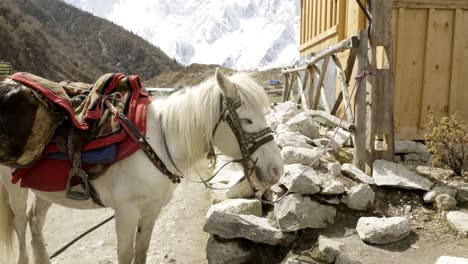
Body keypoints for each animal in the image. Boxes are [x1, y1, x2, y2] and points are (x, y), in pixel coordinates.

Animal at [0, 69, 284, 264]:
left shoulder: (151, 212)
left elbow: (142, 251)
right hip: (14, 187)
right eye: (247, 120)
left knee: (35, 222)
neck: (157, 143)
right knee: (21, 224)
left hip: (42, 189)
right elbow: (126, 255)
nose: (277, 171)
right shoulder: (126, 212)